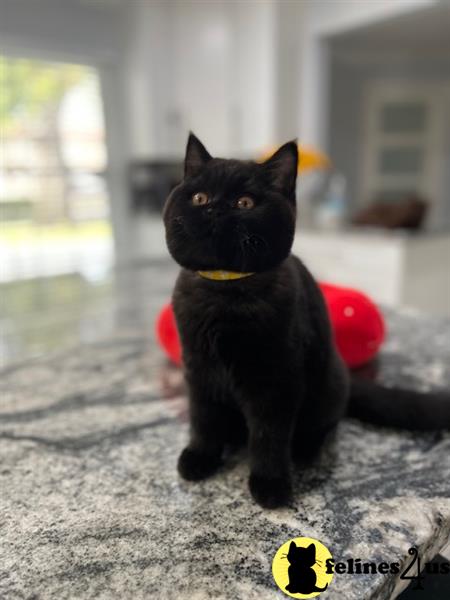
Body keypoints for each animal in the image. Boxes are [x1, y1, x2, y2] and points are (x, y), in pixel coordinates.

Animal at [163, 134, 450, 508]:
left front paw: (270, 485)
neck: (224, 292)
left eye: (244, 202)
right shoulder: (198, 370)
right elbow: (202, 419)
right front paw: (199, 458)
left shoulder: (276, 380)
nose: (215, 209)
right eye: (199, 198)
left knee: (323, 427)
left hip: (327, 386)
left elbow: (269, 435)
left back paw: (306, 452)